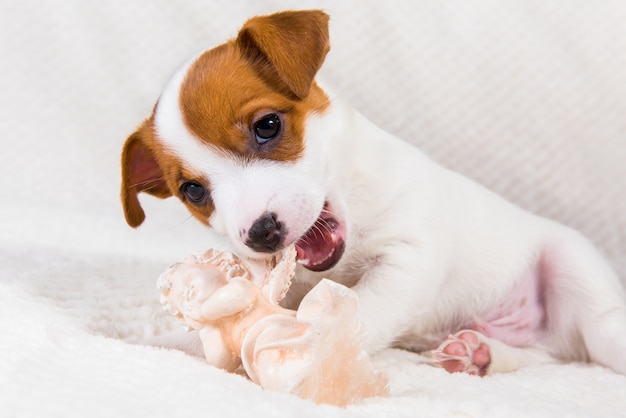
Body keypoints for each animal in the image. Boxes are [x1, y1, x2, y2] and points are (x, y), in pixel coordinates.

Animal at [119, 9, 624, 376]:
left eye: (268, 125)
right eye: (193, 191)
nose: (261, 234)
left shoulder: (408, 259)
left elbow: (360, 311)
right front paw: (154, 343)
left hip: (579, 283)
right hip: (540, 344)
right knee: (543, 358)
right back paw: (479, 353)